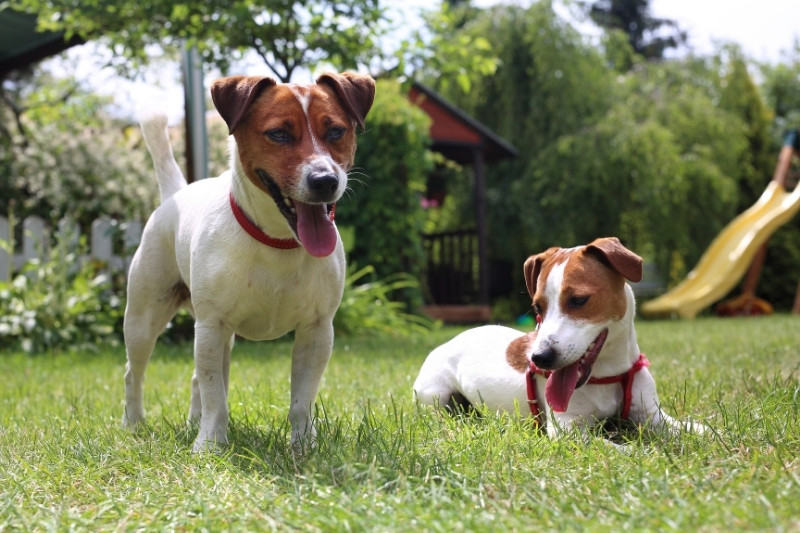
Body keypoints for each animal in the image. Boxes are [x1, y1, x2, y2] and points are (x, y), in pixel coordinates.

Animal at [123, 72, 376, 450]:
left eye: (335, 131)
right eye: (279, 133)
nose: (325, 181)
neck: (278, 242)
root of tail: (176, 194)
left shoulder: (317, 330)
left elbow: (302, 399)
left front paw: (303, 445)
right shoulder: (211, 326)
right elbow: (216, 396)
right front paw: (209, 445)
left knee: (198, 378)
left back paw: (192, 422)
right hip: (144, 317)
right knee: (135, 372)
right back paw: (134, 424)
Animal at [416, 237, 704, 440]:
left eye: (578, 300)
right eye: (537, 307)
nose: (539, 358)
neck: (608, 375)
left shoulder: (654, 417)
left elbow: (698, 428)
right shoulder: (568, 430)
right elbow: (621, 450)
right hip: (435, 396)